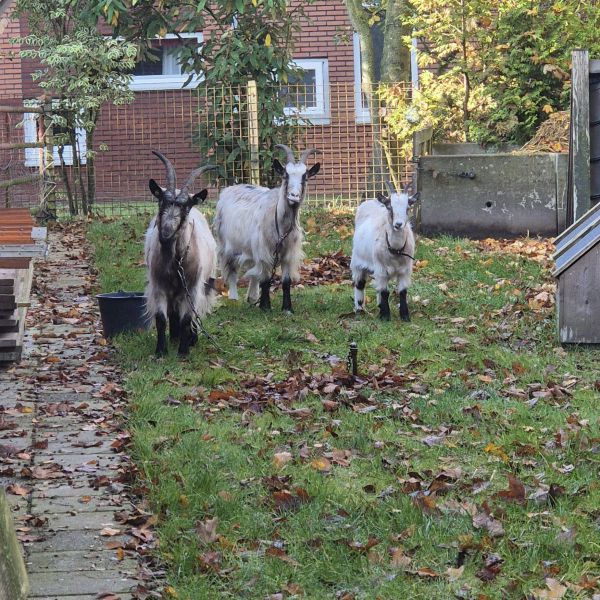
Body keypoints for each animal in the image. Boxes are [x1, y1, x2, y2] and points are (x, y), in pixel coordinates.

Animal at [144, 151, 217, 356]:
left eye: (186, 207)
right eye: (161, 202)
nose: (166, 234)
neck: (175, 260)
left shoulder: (191, 287)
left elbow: (187, 318)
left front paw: (183, 351)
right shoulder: (159, 285)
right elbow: (161, 318)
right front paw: (161, 351)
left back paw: (190, 338)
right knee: (173, 311)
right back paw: (175, 337)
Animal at [213, 144, 322, 314]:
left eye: (305, 177)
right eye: (285, 175)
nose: (294, 196)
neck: (280, 226)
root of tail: (229, 189)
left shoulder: (288, 253)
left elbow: (285, 281)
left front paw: (287, 309)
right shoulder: (264, 250)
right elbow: (265, 279)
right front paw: (265, 306)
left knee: (252, 269)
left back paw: (252, 297)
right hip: (226, 244)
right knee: (232, 269)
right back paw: (234, 297)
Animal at [352, 182, 418, 322]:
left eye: (407, 208)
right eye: (390, 207)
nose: (398, 224)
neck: (396, 251)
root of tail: (371, 201)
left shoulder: (405, 271)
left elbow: (402, 291)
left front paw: (405, 316)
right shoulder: (381, 268)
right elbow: (384, 292)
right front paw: (385, 316)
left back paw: (379, 305)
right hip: (357, 260)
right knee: (360, 283)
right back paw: (359, 309)